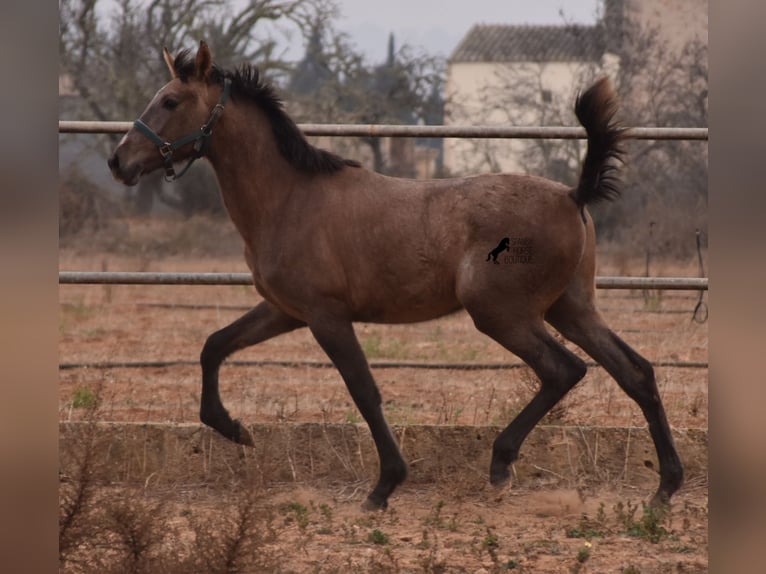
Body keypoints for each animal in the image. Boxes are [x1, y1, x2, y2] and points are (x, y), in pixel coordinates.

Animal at [106, 41, 684, 512]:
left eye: (170, 102)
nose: (118, 162)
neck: (290, 198)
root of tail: (572, 194)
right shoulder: (285, 311)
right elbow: (214, 346)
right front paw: (235, 430)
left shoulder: (326, 316)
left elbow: (364, 390)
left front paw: (384, 487)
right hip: (573, 307)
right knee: (634, 371)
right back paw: (665, 487)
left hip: (502, 313)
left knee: (564, 370)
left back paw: (502, 464)